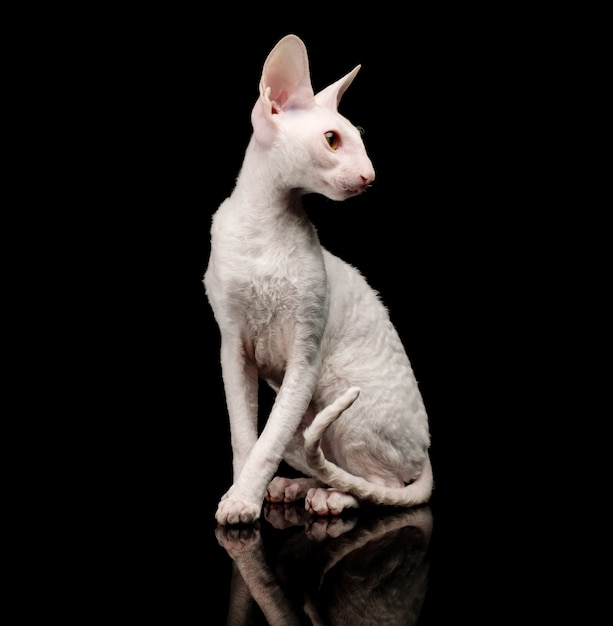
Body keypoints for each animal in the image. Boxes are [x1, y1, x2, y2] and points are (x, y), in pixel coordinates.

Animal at [204, 33, 430, 520]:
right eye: (332, 140)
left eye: (360, 141)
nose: (370, 176)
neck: (264, 231)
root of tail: (425, 455)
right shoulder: (232, 346)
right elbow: (245, 438)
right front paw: (240, 495)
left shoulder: (305, 352)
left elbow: (265, 443)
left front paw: (241, 502)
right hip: (310, 418)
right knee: (321, 458)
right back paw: (295, 486)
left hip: (345, 403)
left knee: (379, 484)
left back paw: (332, 497)